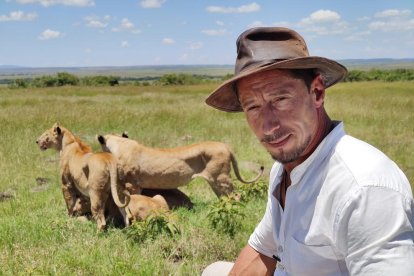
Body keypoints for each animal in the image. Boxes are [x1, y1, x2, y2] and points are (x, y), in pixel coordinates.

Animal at [96, 133, 264, 197]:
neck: (118, 145)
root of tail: (225, 146)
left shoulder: (133, 184)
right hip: (215, 182)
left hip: (222, 178)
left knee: (236, 196)